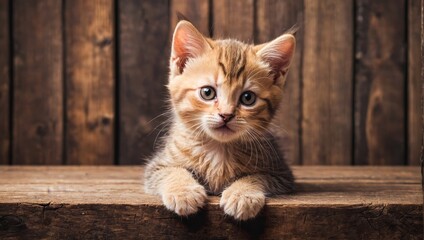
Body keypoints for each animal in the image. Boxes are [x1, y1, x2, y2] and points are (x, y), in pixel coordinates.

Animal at [145, 21, 294, 221]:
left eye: (248, 98)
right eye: (207, 92)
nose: (226, 115)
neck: (218, 149)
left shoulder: (281, 174)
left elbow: (257, 176)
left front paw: (242, 194)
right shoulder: (157, 166)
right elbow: (172, 171)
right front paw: (184, 192)